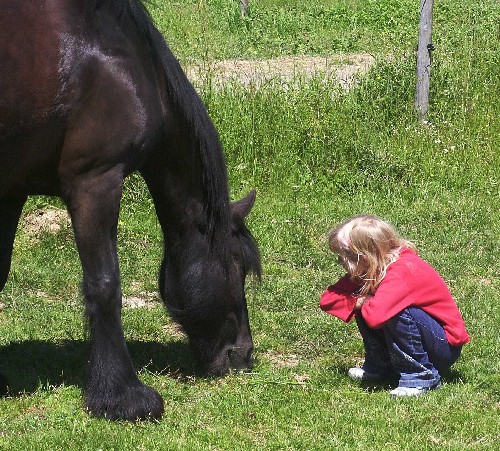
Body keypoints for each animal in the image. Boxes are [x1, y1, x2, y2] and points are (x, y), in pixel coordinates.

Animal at [0, 0, 260, 422]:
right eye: (238, 267)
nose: (243, 354)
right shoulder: (97, 180)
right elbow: (105, 286)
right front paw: (122, 396)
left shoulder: (13, 188)